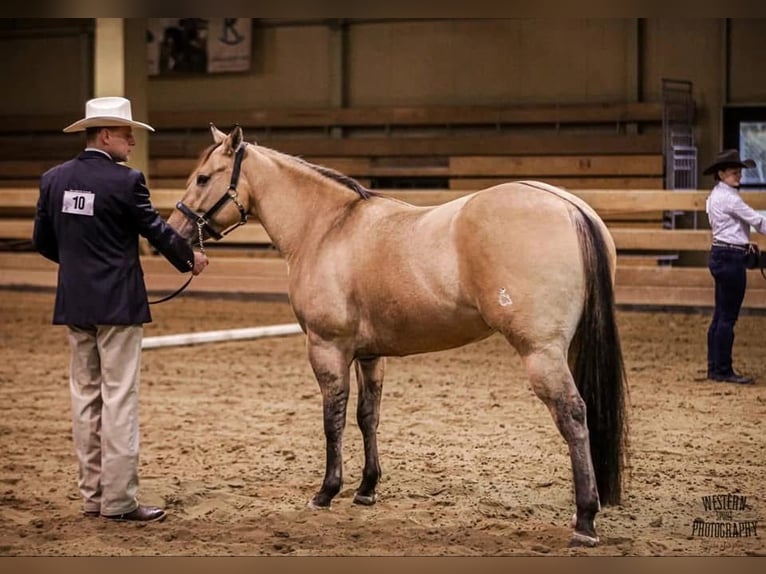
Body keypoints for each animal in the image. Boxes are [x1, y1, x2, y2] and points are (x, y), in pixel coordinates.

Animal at [167, 124, 629, 547]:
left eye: (203, 178)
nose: (175, 234)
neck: (327, 228)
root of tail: (569, 206)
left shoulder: (327, 348)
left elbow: (333, 420)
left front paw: (327, 491)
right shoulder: (370, 354)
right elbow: (367, 416)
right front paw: (366, 489)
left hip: (540, 353)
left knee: (573, 415)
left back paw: (585, 520)